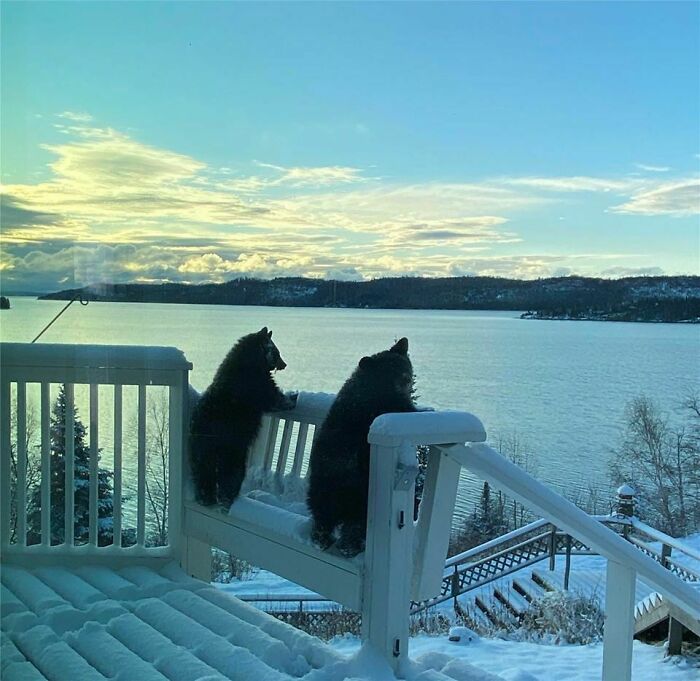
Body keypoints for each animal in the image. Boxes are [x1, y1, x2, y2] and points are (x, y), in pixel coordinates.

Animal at [189, 327, 297, 507]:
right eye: (277, 352)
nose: (285, 364)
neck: (250, 360)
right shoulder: (255, 384)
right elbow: (274, 399)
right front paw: (292, 397)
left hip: (200, 449)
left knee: (203, 471)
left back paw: (205, 495)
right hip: (231, 446)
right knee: (231, 472)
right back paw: (228, 494)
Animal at [307, 337, 417, 557]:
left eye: (403, 365)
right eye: (392, 370)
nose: (407, 379)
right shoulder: (388, 404)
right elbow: (408, 409)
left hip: (323, 489)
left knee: (322, 513)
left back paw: (322, 537)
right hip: (358, 491)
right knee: (355, 521)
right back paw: (350, 544)